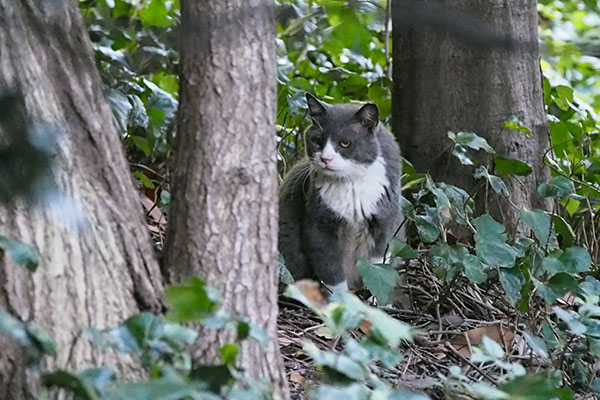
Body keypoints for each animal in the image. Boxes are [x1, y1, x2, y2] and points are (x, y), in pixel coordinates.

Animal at [278, 92, 400, 290]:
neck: (350, 183)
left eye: (345, 143)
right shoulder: (319, 225)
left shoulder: (384, 220)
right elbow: (331, 271)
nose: (325, 158)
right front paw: (341, 298)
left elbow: (377, 266)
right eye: (317, 141)